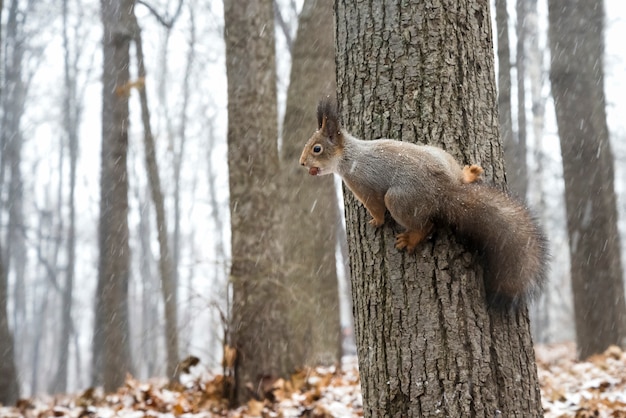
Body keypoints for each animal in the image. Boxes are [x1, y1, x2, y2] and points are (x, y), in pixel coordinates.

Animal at [298, 98, 544, 306]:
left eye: (317, 149)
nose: (301, 163)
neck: (350, 156)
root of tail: (444, 192)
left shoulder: (363, 185)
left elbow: (375, 207)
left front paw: (376, 221)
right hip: (439, 154)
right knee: (458, 179)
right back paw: (469, 173)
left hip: (399, 201)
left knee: (426, 225)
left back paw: (411, 239)